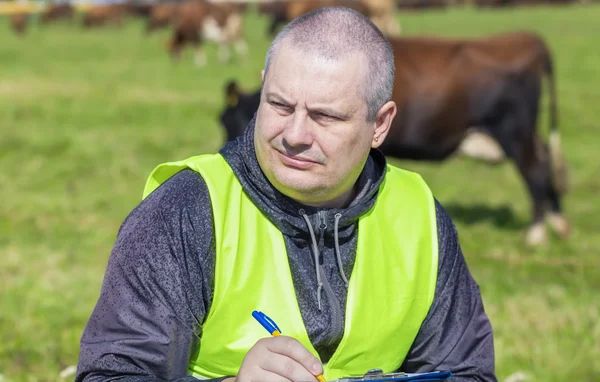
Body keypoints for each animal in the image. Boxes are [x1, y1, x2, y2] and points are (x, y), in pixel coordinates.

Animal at [219, 29, 568, 246]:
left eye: (232, 121)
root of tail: (525, 40)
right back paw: (557, 222)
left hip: (514, 131)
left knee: (535, 170)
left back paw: (536, 234)